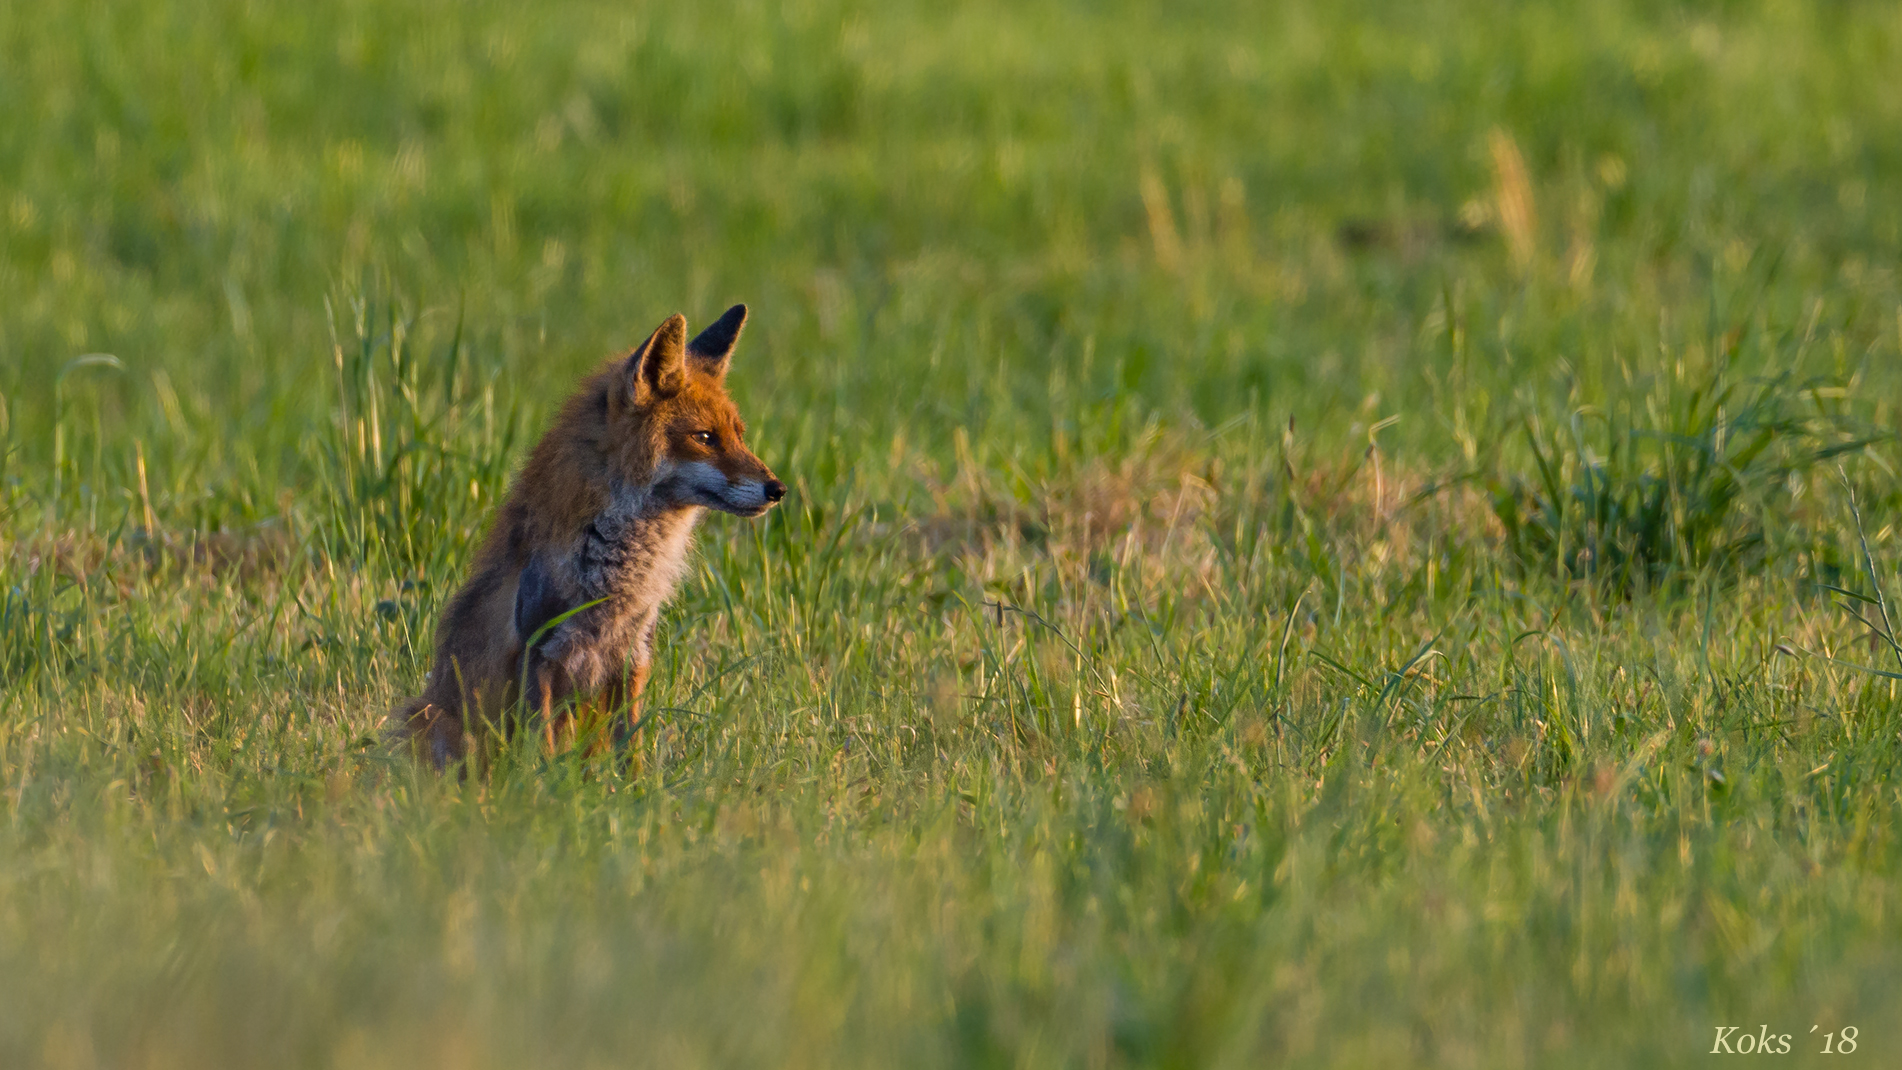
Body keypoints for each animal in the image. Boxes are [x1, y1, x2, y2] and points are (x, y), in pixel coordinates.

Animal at [389, 305, 783, 767]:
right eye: (705, 438)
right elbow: (540, 752)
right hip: (432, 721)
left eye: (739, 435)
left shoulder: (633, 654)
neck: (616, 570)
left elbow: (630, 752)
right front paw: (541, 783)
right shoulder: (538, 650)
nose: (778, 489)